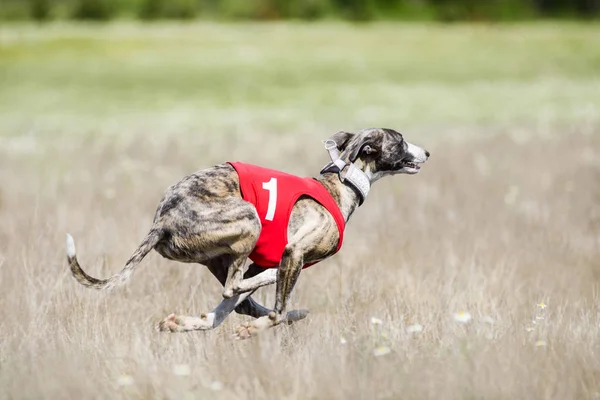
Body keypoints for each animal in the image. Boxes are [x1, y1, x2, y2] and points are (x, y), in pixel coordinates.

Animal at [67, 127, 426, 338]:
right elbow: (273, 308)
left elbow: (234, 307)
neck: (342, 183)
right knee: (237, 288)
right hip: (250, 220)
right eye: (400, 140)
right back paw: (274, 294)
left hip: (221, 254)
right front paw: (256, 328)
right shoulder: (294, 251)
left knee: (233, 299)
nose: (427, 153)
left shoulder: (261, 261)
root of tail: (161, 222)